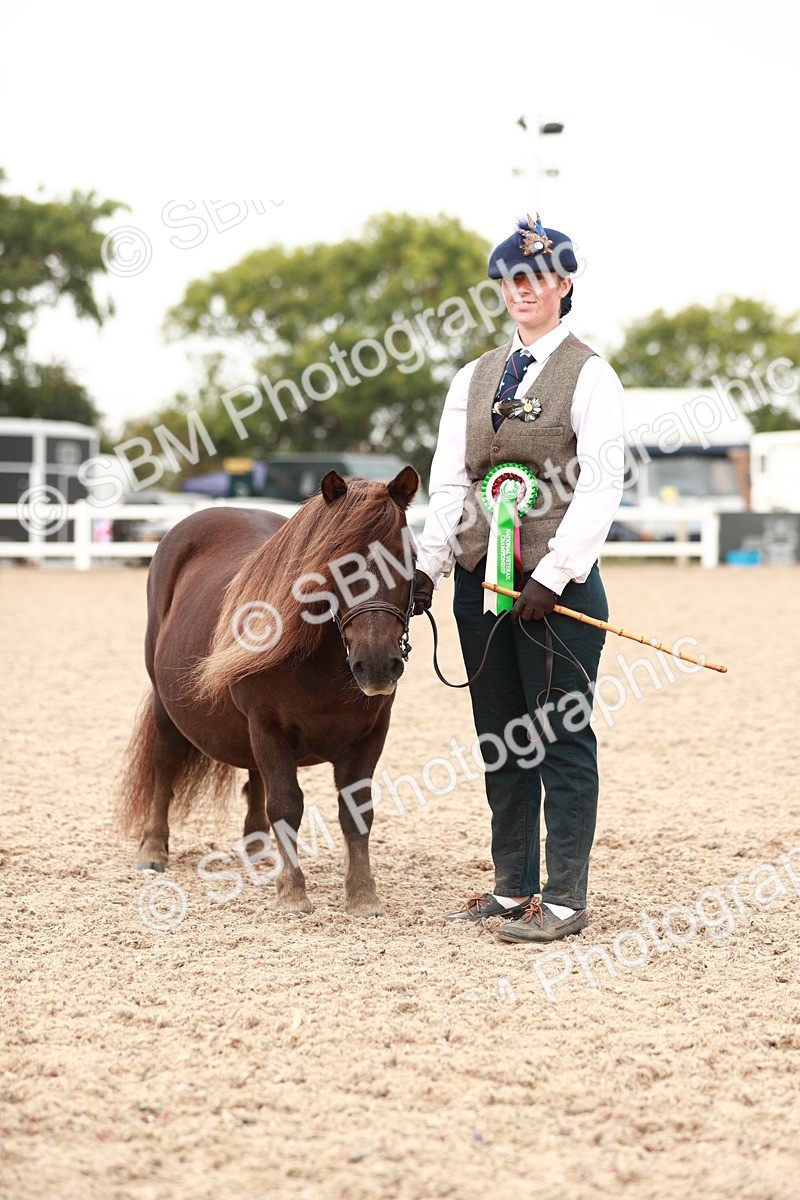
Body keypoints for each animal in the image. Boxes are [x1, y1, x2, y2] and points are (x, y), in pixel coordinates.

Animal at [118, 465, 419, 915]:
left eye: (408, 559)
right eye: (337, 560)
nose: (379, 665)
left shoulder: (370, 735)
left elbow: (356, 810)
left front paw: (363, 894)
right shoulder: (267, 727)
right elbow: (286, 803)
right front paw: (293, 891)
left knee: (254, 776)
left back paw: (259, 845)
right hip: (165, 705)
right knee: (165, 765)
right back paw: (153, 849)